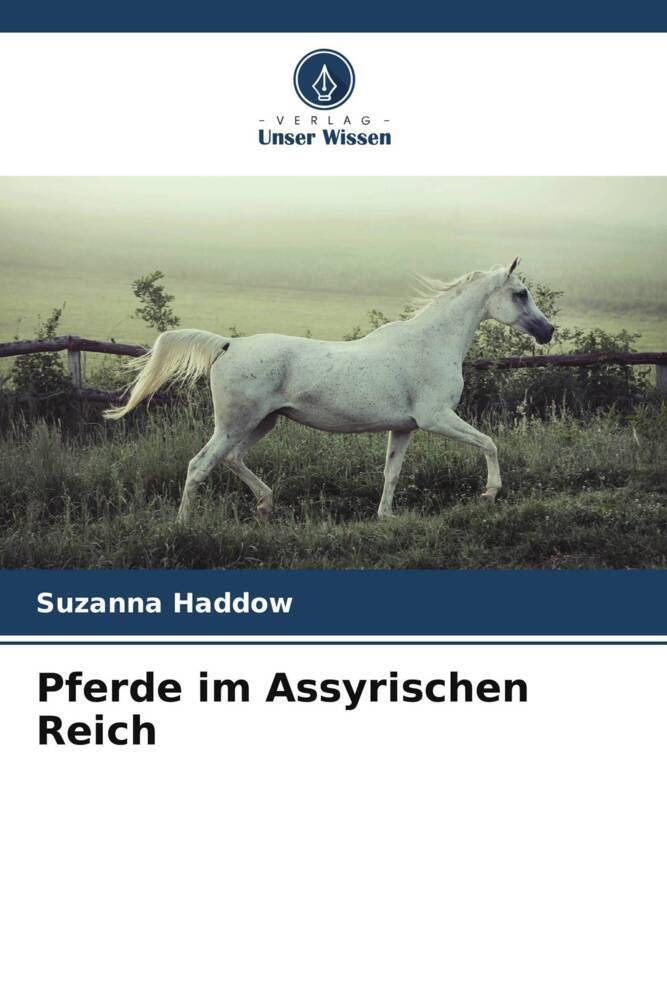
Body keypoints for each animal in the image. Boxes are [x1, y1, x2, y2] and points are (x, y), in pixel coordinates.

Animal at [104, 258, 554, 522]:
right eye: (520, 293)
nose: (548, 332)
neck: (430, 342)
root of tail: (228, 344)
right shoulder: (437, 418)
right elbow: (489, 443)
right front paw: (489, 494)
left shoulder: (404, 427)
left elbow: (392, 472)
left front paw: (385, 517)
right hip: (234, 424)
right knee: (200, 466)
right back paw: (184, 525)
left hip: (263, 422)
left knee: (231, 459)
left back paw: (266, 503)